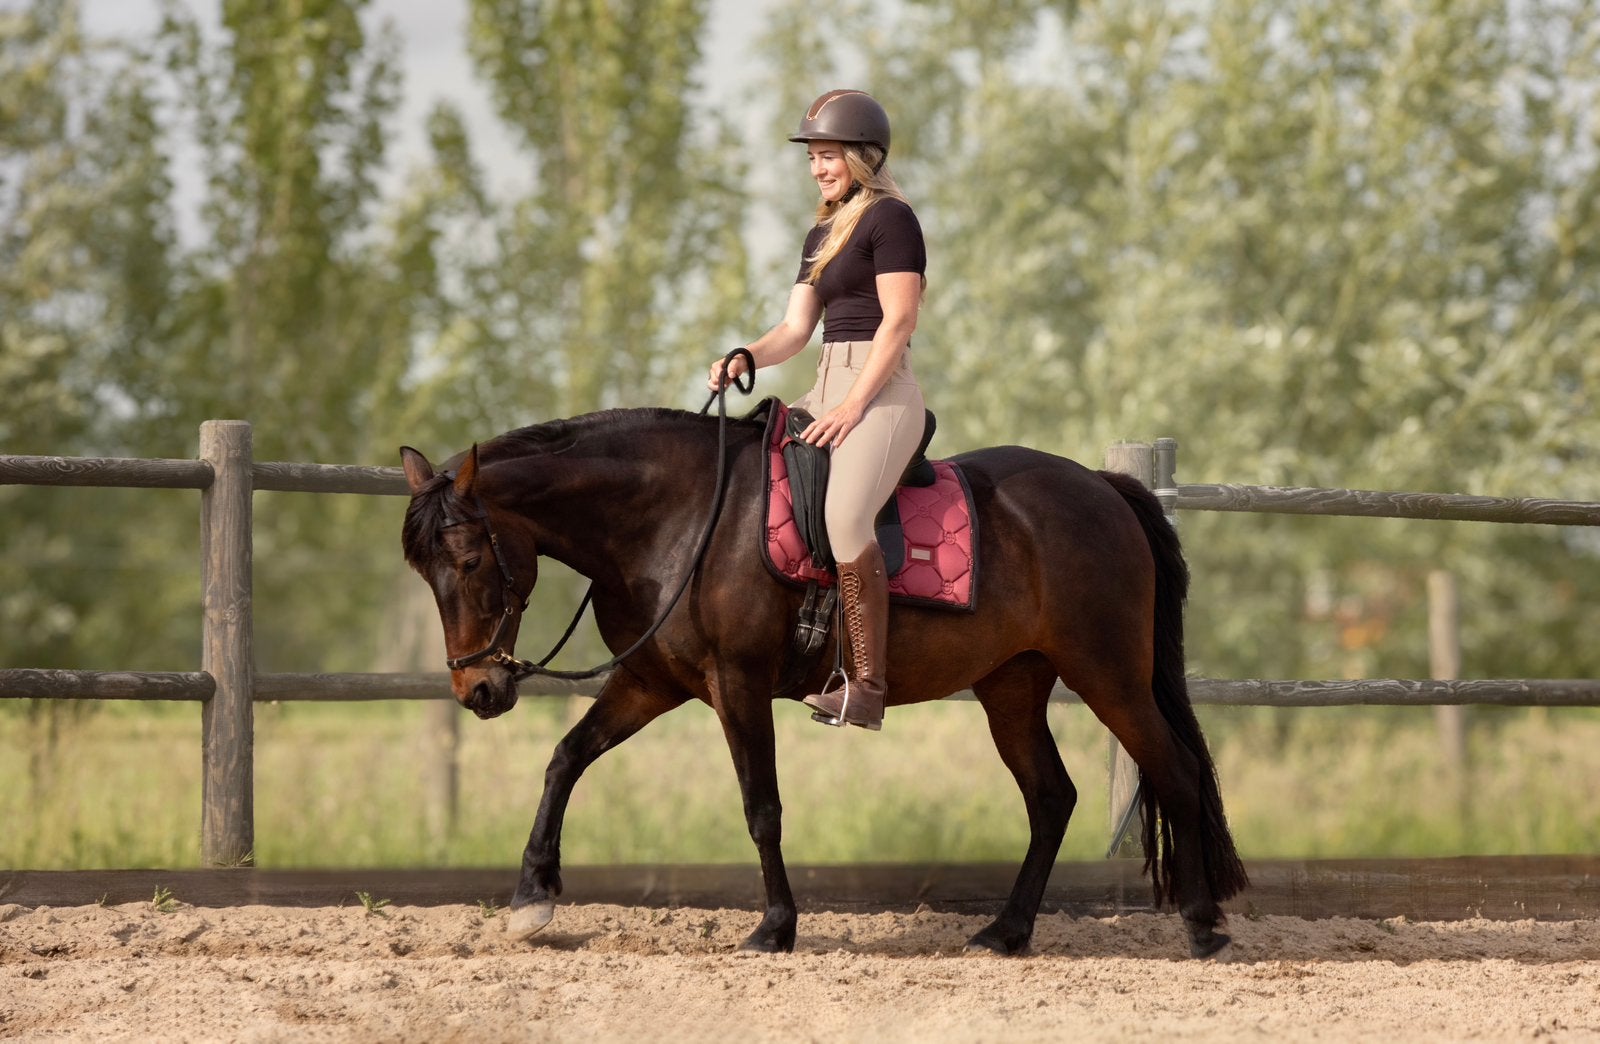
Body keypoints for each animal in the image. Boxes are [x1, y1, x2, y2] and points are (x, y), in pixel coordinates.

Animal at [399, 404, 1248, 958]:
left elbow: (762, 809)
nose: (478, 691)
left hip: (1110, 675)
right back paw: (1007, 932)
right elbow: (566, 760)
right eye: (422, 569)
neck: (681, 517)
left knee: (1175, 772)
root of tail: (1105, 489)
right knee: (1051, 798)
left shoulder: (737, 684)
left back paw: (1202, 924)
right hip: (1012, 687)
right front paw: (532, 899)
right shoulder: (652, 681)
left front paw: (775, 927)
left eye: (468, 561)